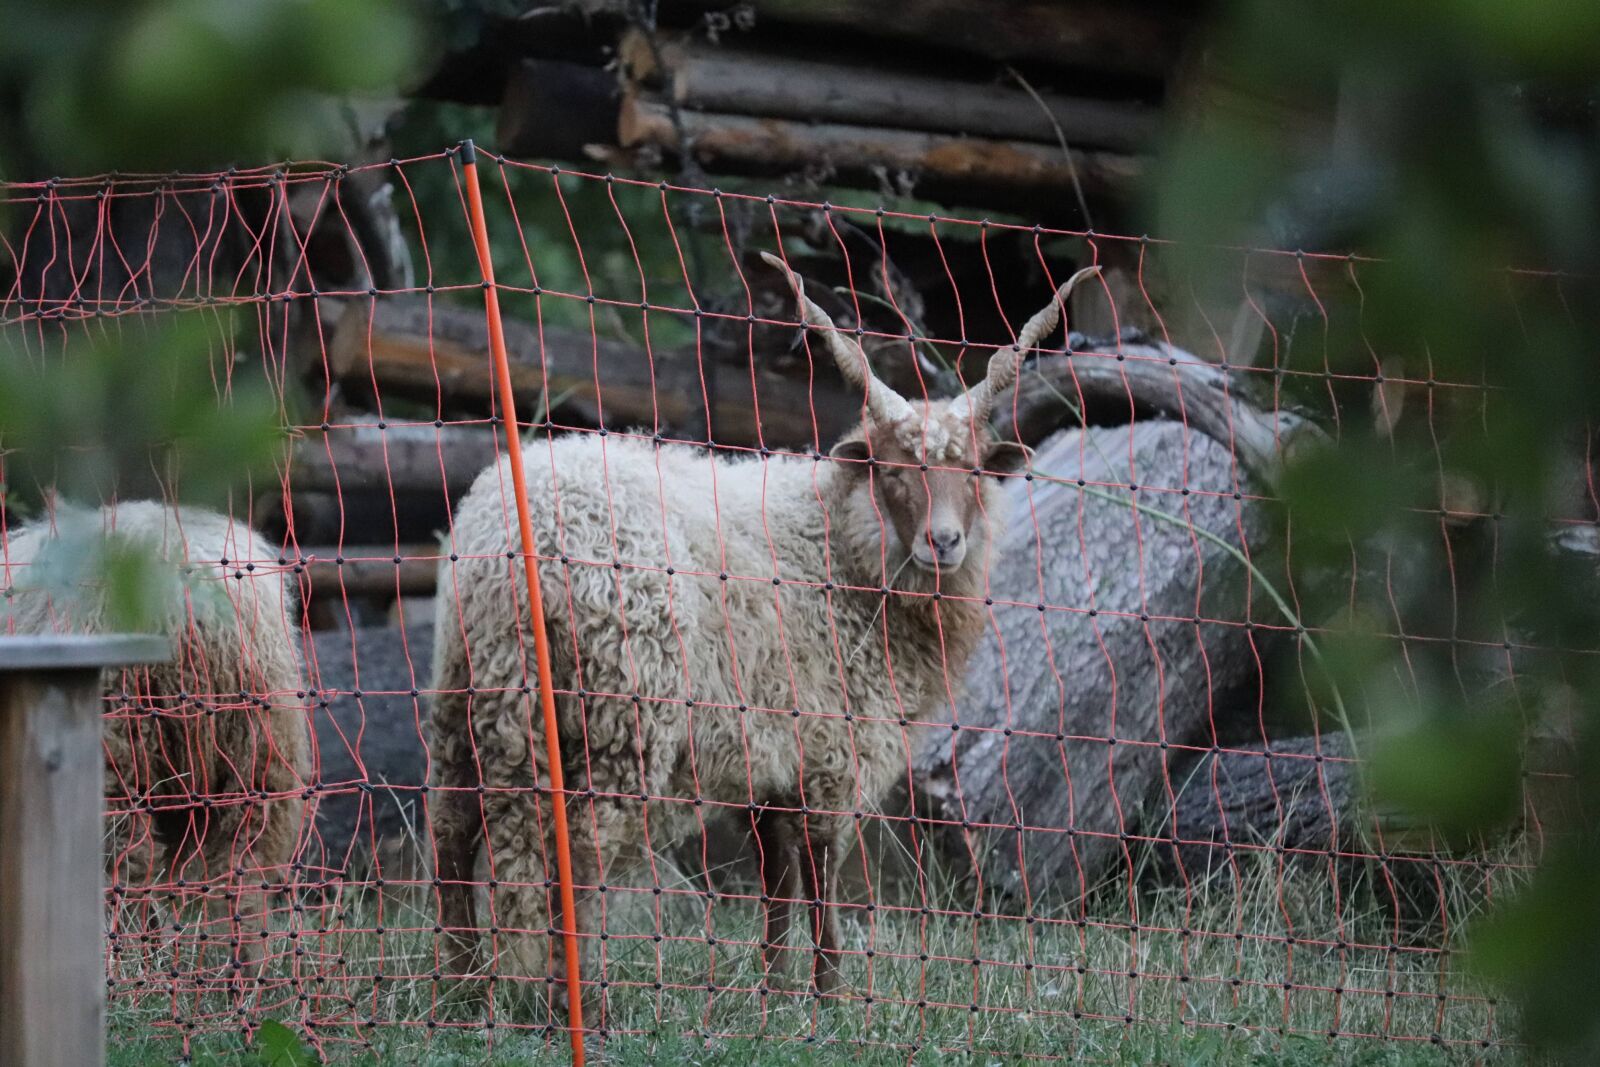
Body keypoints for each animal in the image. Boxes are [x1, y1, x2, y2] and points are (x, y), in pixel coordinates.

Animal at [0, 502, 308, 979]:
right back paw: (244, 971)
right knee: (239, 868)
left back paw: (128, 966)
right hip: (257, 755)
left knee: (125, 870)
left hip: (119, 753)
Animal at [425, 254, 1100, 1004]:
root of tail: (515, 543)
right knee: (583, 852)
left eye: (975, 472)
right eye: (892, 471)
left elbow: (777, 876)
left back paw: (458, 985)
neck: (836, 545)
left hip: (465, 697)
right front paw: (829, 993)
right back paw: (578, 997)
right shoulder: (834, 748)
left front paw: (776, 989)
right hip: (617, 715)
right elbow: (822, 873)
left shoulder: (772, 752)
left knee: (452, 831)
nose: (943, 542)